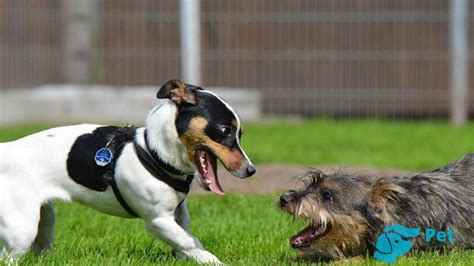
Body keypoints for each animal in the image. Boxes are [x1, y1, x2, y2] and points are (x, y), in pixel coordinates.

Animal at [0, 79, 256, 264]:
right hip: (21, 229)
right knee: (8, 257)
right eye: (225, 131)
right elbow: (189, 242)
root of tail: (7, 150)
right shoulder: (158, 220)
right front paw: (213, 261)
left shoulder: (178, 213)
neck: (153, 151)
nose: (251, 170)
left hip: (44, 220)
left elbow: (184, 239)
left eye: (240, 134)